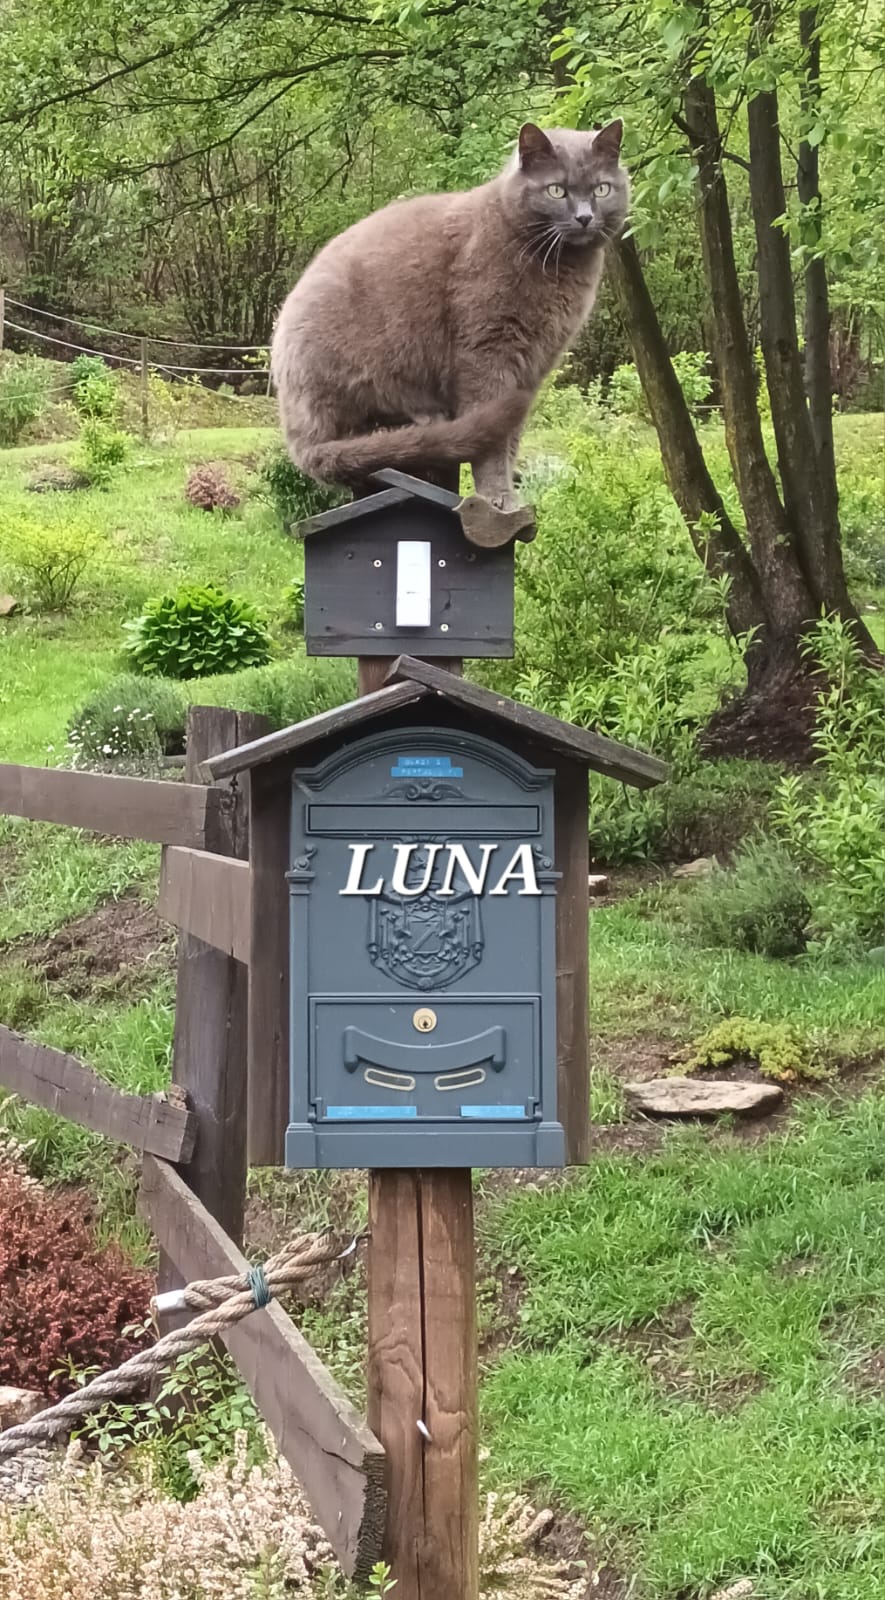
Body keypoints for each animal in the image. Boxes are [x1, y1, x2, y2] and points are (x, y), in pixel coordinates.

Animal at [272, 119, 624, 505]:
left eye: (602, 188)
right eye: (557, 190)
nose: (584, 217)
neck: (559, 267)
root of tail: (298, 440)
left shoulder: (534, 365)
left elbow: (511, 439)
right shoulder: (486, 350)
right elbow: (491, 441)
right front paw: (498, 498)